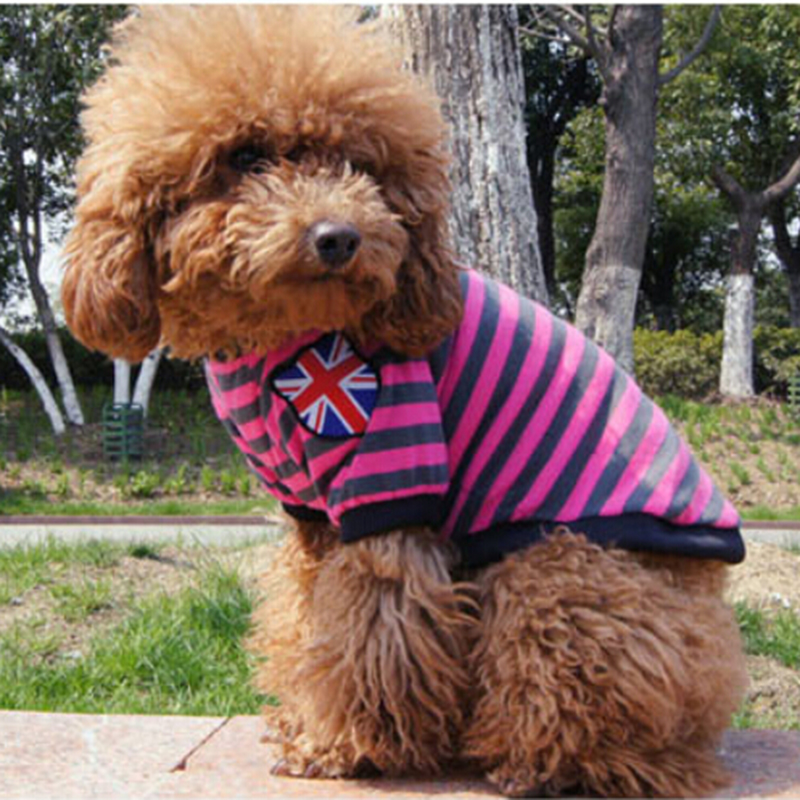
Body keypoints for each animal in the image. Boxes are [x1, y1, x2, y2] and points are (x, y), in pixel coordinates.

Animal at [62, 7, 748, 797]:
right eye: (247, 157)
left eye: (360, 166)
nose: (339, 237)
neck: (279, 337)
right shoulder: (312, 516)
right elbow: (309, 620)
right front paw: (304, 722)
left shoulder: (387, 476)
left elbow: (370, 628)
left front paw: (342, 745)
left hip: (561, 567)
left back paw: (538, 761)